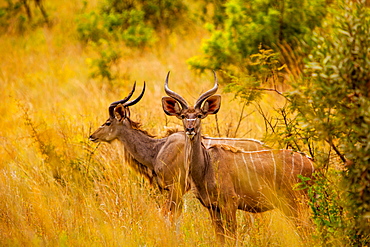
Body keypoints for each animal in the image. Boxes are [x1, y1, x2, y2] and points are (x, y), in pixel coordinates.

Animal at [89, 81, 268, 222]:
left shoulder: (176, 188)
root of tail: (264, 146)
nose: (92, 136)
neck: (158, 149)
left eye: (107, 122)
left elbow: (171, 217)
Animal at [163, 72, 316, 242]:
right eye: (183, 115)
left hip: (296, 203)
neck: (206, 167)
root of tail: (311, 163)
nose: (190, 129)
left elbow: (232, 236)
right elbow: (220, 237)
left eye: (199, 115)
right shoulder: (212, 207)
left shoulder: (230, 203)